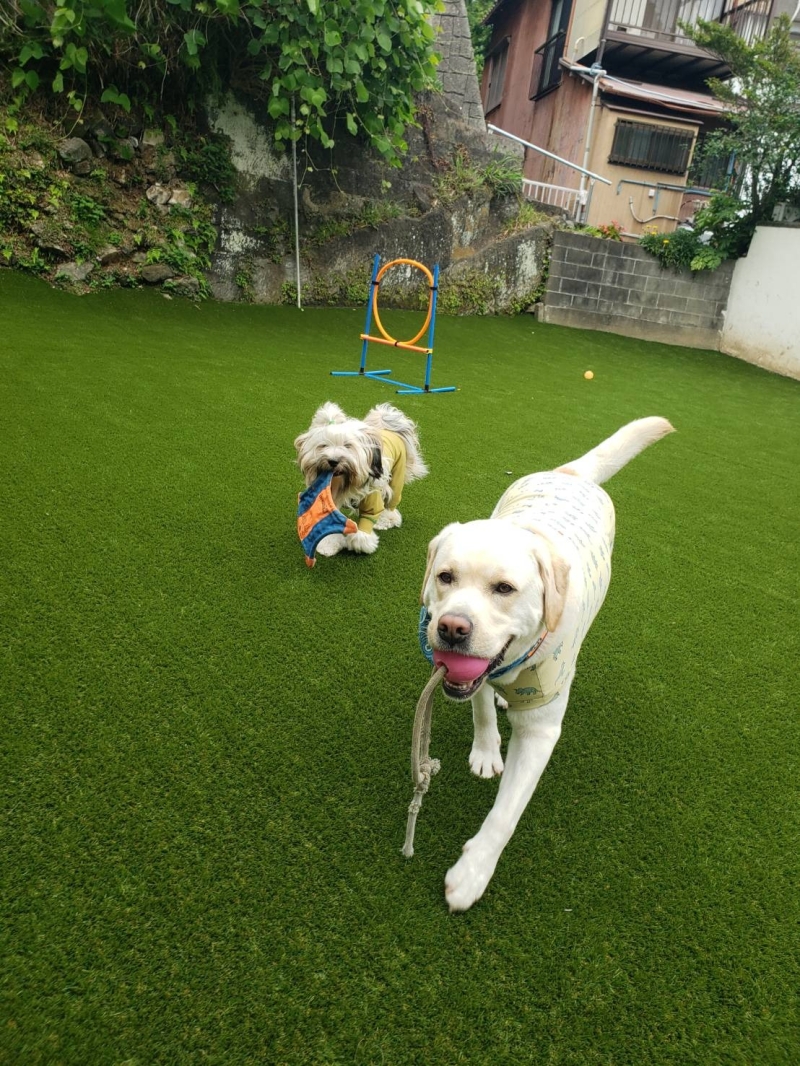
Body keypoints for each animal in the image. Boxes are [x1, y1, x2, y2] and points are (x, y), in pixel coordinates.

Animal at [294, 401, 428, 556]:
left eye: (347, 445)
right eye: (323, 445)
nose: (333, 461)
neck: (345, 484)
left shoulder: (372, 498)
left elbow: (369, 517)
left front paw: (360, 542)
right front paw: (327, 545)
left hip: (397, 476)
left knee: (391, 502)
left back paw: (386, 520)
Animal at [419, 416, 675, 911]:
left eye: (504, 588)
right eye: (445, 577)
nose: (451, 628)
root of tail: (571, 474)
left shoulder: (540, 732)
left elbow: (506, 812)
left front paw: (473, 873)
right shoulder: (479, 676)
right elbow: (479, 705)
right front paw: (486, 750)